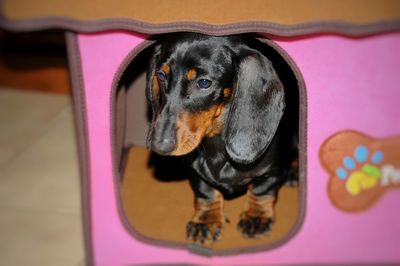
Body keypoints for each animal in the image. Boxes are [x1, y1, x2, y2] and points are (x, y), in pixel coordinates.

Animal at [145, 32, 296, 243]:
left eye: (204, 83)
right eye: (161, 75)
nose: (159, 145)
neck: (216, 142)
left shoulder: (272, 171)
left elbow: (262, 191)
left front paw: (256, 217)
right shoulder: (195, 170)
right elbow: (206, 191)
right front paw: (206, 220)